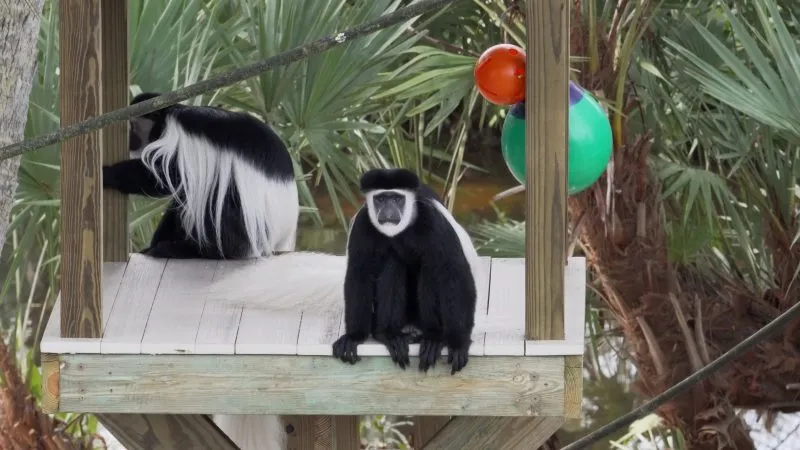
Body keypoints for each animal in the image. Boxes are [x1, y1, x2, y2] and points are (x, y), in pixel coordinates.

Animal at [102, 92, 299, 260]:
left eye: (131, 126)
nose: (130, 140)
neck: (168, 116)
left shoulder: (178, 135)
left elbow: (165, 178)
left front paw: (107, 174)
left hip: (250, 230)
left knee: (216, 200)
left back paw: (197, 251)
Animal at [331, 168, 481, 375]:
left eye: (396, 198)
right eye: (380, 199)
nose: (388, 211)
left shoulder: (433, 222)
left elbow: (453, 273)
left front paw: (458, 344)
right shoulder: (363, 224)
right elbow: (359, 273)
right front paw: (354, 336)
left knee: (430, 268)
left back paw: (433, 338)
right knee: (393, 263)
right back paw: (389, 334)